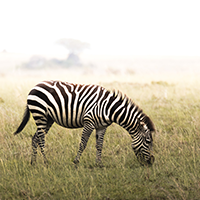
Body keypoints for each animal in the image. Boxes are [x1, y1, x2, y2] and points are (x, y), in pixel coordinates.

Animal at [14, 80, 155, 166]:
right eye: (148, 141)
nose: (151, 162)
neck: (109, 108)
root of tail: (35, 86)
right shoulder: (89, 122)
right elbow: (83, 143)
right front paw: (76, 162)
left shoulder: (102, 126)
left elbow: (99, 145)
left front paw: (99, 164)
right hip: (40, 114)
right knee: (41, 138)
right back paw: (46, 162)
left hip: (48, 118)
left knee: (35, 138)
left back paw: (33, 162)